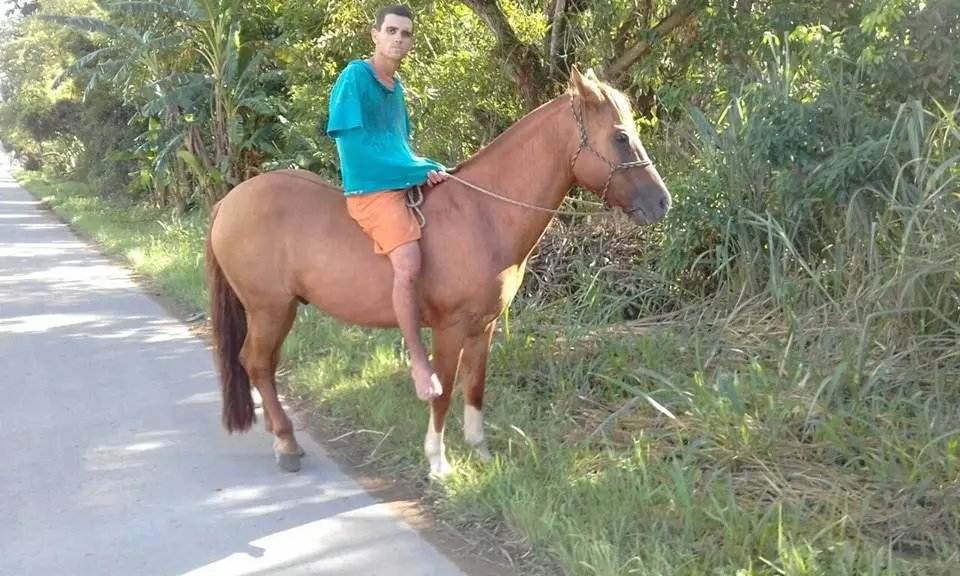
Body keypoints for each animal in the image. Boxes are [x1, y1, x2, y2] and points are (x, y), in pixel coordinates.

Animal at [204, 67, 671, 477]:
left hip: (278, 311)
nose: (662, 202)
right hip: (269, 308)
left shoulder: (483, 328)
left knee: (264, 364)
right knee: (256, 363)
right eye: (620, 137)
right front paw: (439, 462)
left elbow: (475, 388)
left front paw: (480, 454)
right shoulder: (450, 328)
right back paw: (285, 441)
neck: (481, 215)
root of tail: (229, 202)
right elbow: (444, 391)